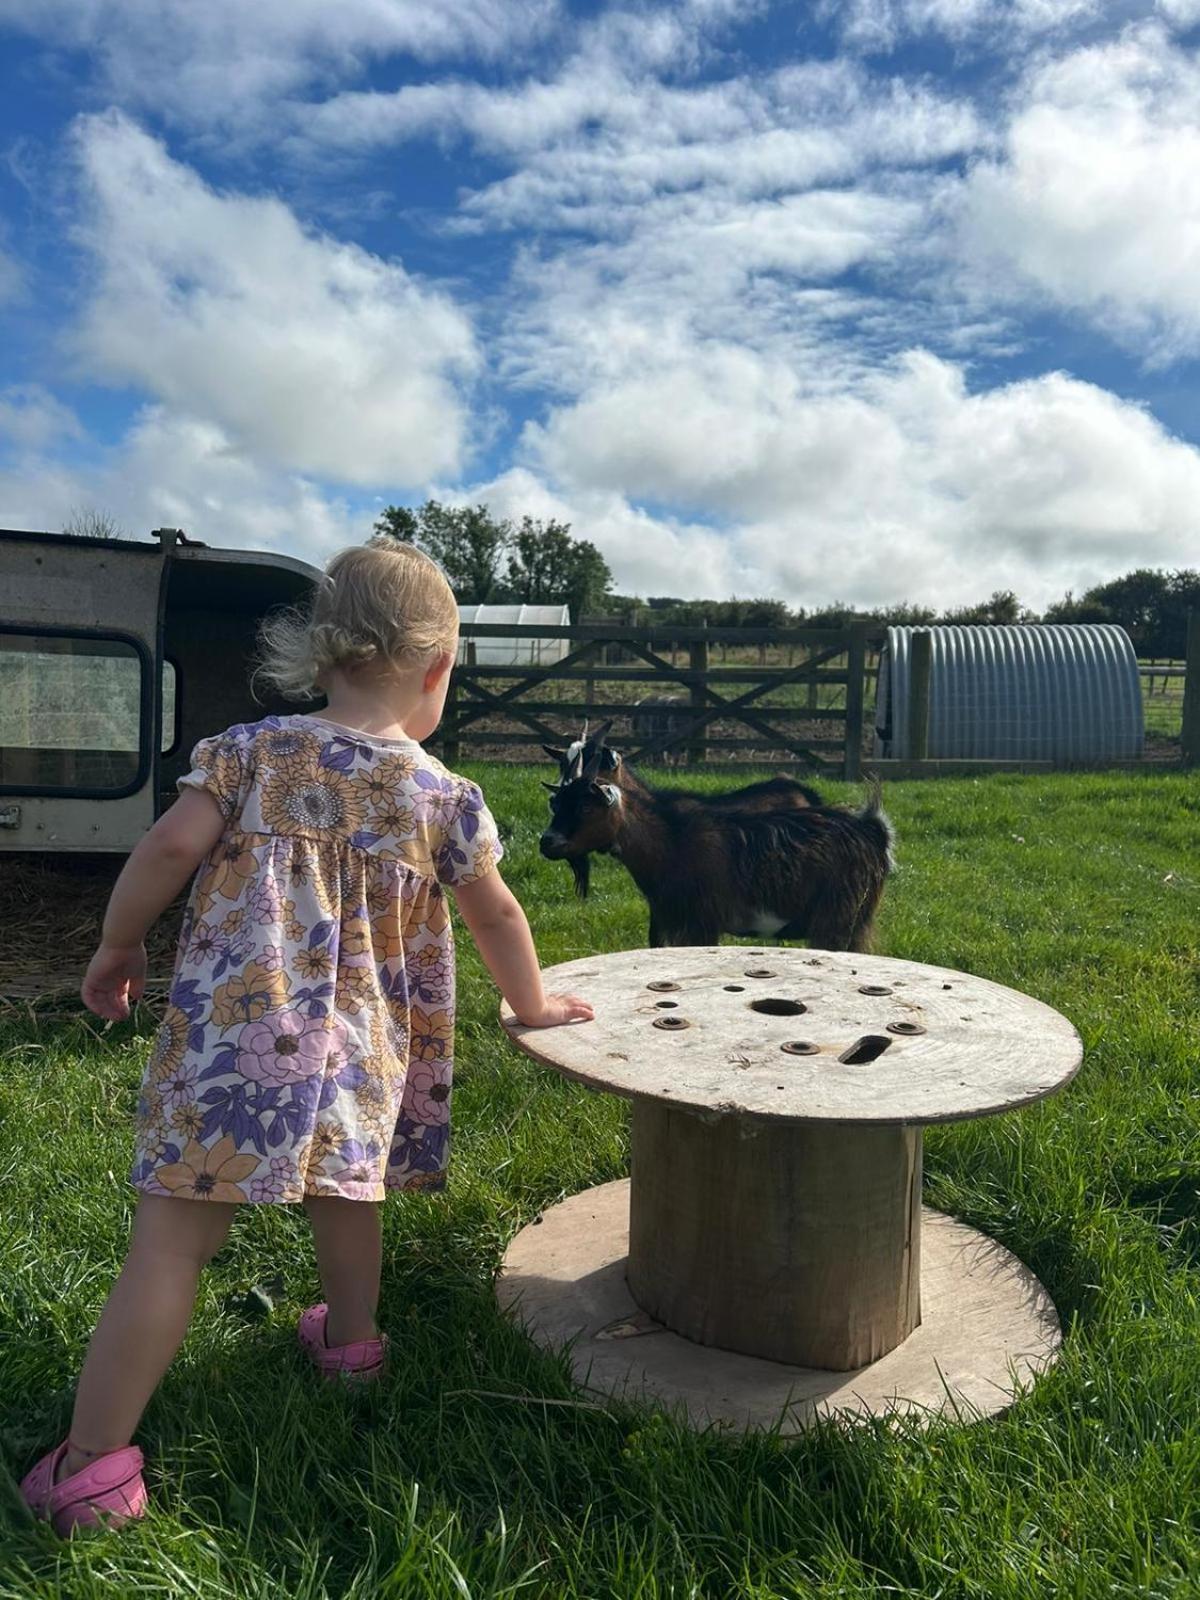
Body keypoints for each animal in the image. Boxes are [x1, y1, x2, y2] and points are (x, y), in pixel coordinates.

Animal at [544, 726, 896, 947]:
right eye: (556, 802)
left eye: (586, 807)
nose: (547, 842)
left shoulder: (701, 924)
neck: (669, 837)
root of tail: (873, 830)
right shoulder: (667, 919)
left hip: (837, 921)